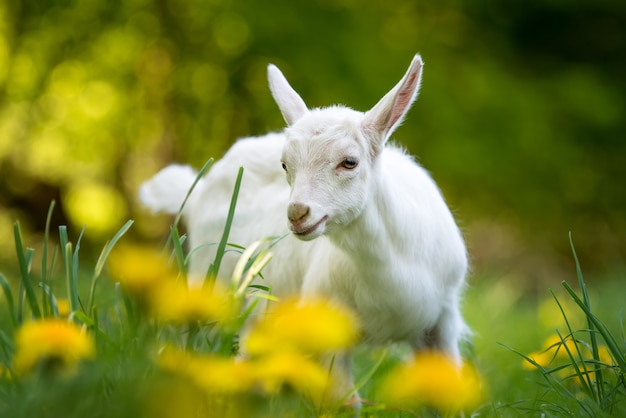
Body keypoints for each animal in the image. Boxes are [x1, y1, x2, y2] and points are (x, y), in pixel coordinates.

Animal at [138, 53, 468, 408]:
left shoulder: (443, 324)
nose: (297, 214)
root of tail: (198, 189)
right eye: (285, 165)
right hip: (210, 285)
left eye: (349, 162)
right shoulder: (327, 328)